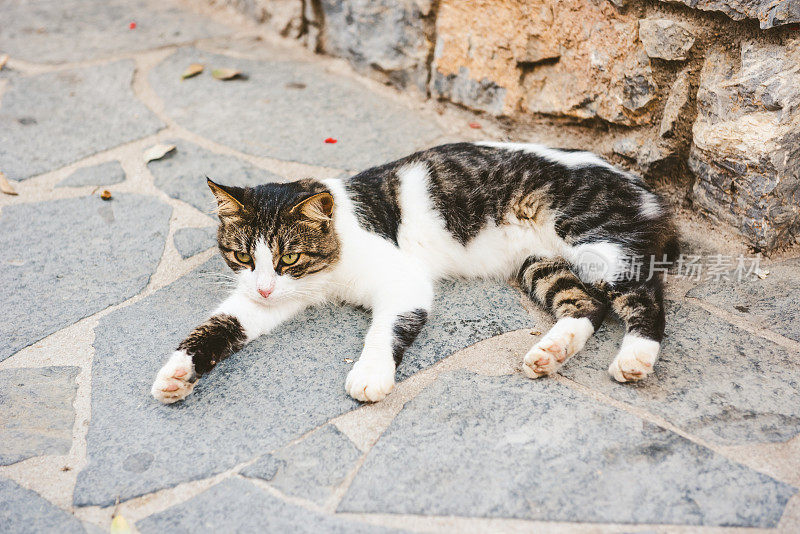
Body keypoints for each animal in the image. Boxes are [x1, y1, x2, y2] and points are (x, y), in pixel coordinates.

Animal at [150, 143, 676, 406]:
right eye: (241, 256)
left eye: (289, 259)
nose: (263, 285)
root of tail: (641, 186)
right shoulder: (268, 299)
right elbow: (220, 323)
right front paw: (177, 372)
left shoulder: (404, 282)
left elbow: (383, 330)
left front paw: (370, 374)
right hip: (539, 263)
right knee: (587, 304)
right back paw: (551, 351)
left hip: (597, 242)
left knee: (644, 295)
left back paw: (635, 358)